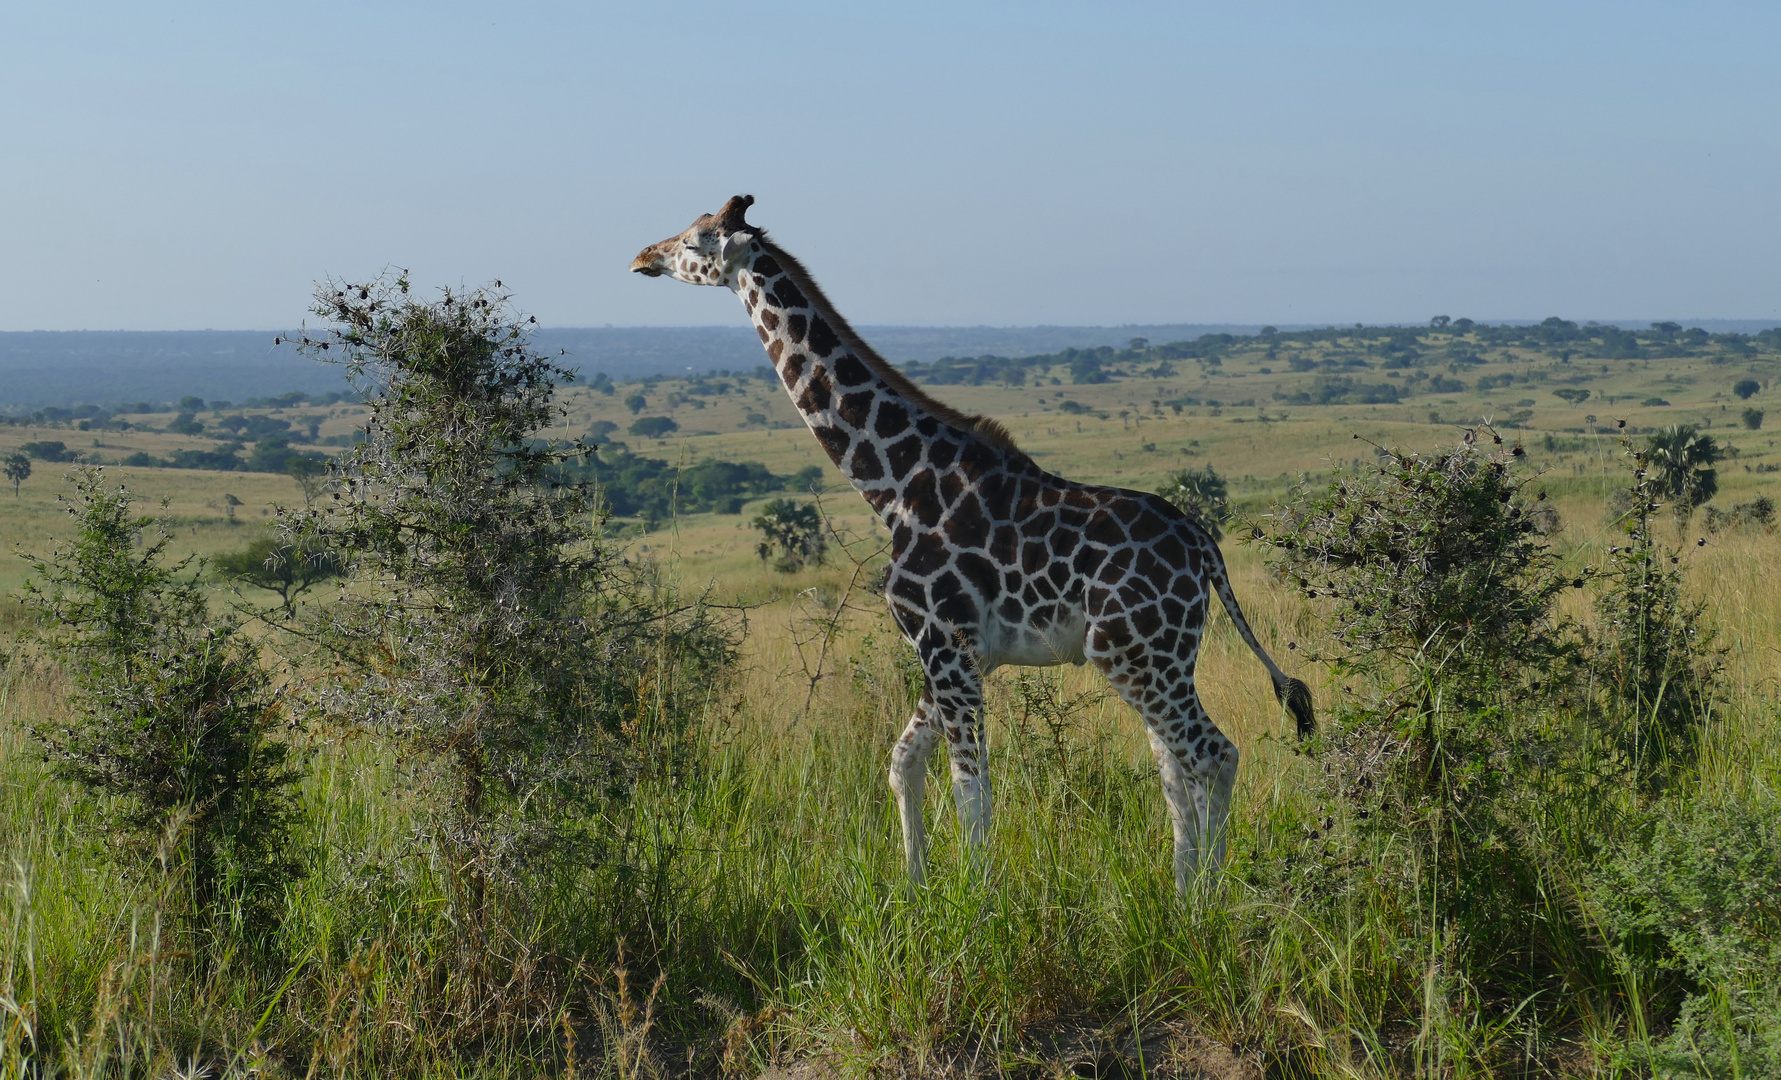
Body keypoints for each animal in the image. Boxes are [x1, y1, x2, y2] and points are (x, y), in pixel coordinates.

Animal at [630, 198, 1310, 894]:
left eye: (694, 238)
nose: (642, 257)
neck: (895, 486)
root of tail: (1204, 548)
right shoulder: (959, 652)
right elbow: (903, 762)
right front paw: (914, 890)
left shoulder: (946, 642)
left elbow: (970, 791)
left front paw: (978, 903)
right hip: (1161, 657)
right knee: (1177, 768)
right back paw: (1181, 893)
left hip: (1133, 652)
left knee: (1213, 755)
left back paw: (1208, 901)